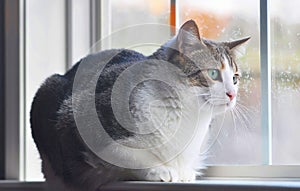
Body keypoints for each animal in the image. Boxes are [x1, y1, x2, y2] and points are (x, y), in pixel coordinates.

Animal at [30, 19, 250, 191]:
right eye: (213, 73)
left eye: (235, 78)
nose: (232, 94)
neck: (186, 115)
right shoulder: (76, 120)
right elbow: (126, 155)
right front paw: (160, 170)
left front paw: (184, 172)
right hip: (48, 90)